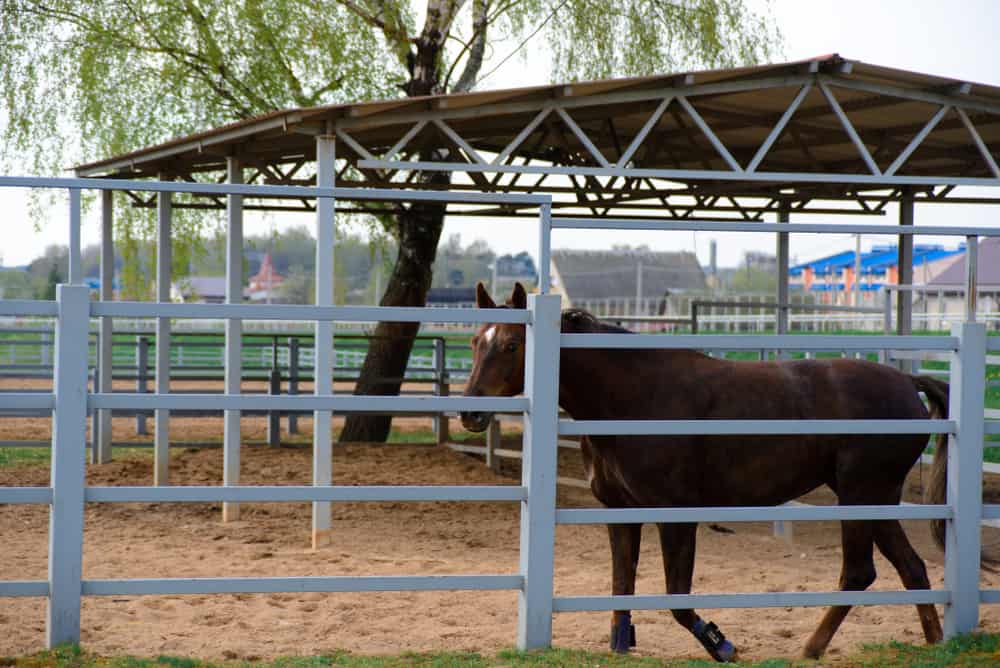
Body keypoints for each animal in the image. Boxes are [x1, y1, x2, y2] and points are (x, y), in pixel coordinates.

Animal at [460, 282, 956, 662]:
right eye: (476, 341)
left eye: (512, 344)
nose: (470, 413)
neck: (634, 398)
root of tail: (907, 382)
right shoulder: (620, 511)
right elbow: (622, 586)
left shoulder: (676, 515)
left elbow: (678, 601)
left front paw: (722, 646)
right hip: (875, 498)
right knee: (911, 568)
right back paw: (934, 644)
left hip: (859, 494)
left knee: (859, 572)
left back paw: (810, 648)